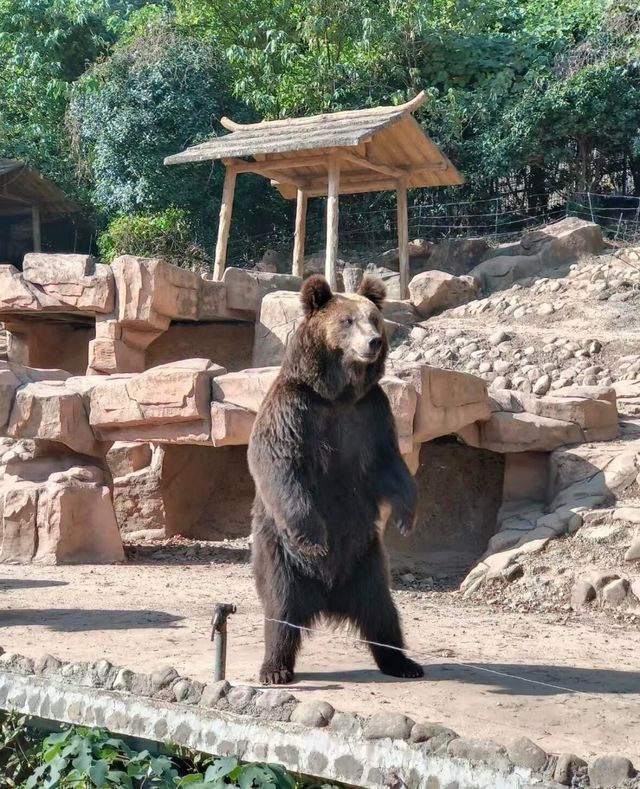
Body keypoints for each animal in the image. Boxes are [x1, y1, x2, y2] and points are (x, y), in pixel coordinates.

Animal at [248, 272, 422, 684]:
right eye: (347, 320)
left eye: (373, 319)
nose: (374, 342)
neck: (338, 393)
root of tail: (329, 599)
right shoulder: (295, 409)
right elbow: (281, 465)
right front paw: (315, 539)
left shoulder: (371, 414)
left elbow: (388, 465)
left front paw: (406, 516)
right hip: (281, 555)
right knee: (281, 608)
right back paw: (275, 667)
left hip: (367, 559)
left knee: (382, 612)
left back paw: (402, 662)